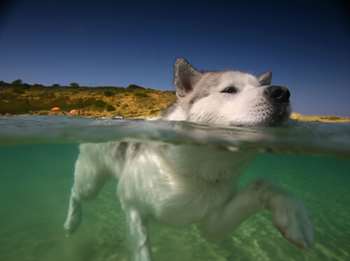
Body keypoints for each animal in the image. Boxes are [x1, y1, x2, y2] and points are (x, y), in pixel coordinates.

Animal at [64, 59, 314, 260]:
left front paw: (293, 215)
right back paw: (71, 222)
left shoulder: (212, 223)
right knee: (76, 192)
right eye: (229, 90)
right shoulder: (133, 207)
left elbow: (264, 185)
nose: (282, 92)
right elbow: (142, 248)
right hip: (90, 179)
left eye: (260, 86)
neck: (194, 171)